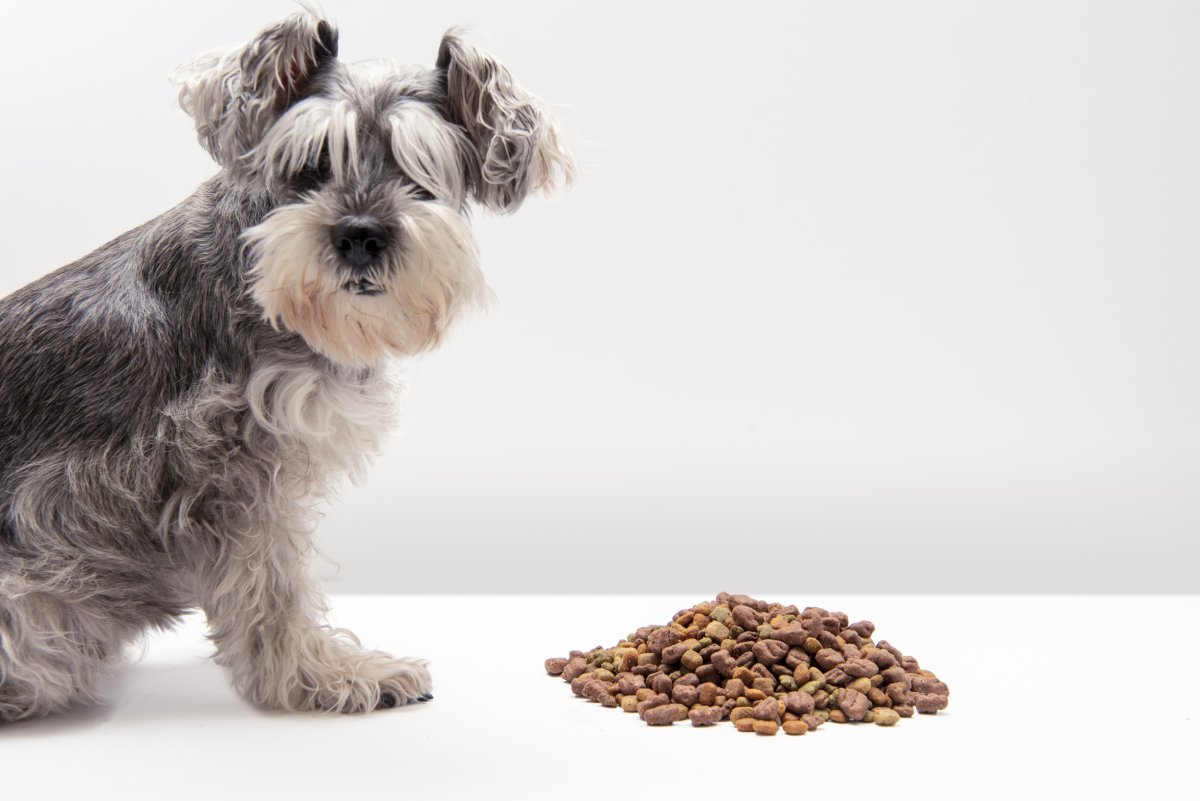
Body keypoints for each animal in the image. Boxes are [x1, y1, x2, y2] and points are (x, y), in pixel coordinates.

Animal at [0, 9, 576, 724]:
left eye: (421, 171)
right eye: (311, 163)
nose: (360, 234)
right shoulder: (230, 473)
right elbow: (270, 587)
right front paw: (326, 677)